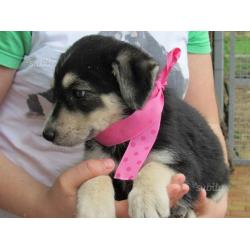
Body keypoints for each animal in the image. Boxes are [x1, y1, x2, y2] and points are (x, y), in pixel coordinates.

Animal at [42, 34, 229, 217]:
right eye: (53, 93)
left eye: (79, 93)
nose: (46, 135)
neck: (125, 135)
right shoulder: (96, 161)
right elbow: (95, 177)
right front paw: (94, 208)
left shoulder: (184, 163)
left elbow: (153, 167)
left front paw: (146, 201)